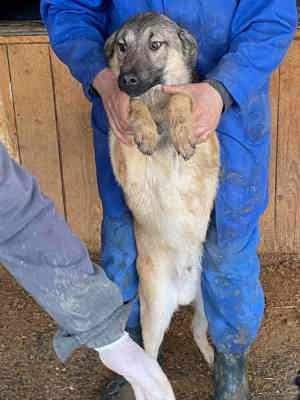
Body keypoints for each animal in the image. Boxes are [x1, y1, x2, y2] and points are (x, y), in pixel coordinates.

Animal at [104, 12, 219, 364]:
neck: (157, 109)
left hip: (208, 305)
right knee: (149, 353)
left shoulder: (208, 144)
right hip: (154, 313)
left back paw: (214, 360)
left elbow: (181, 94)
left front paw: (181, 131)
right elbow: (132, 104)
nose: (126, 79)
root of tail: (182, 292)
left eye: (156, 44)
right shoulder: (126, 158)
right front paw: (144, 129)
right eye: (122, 46)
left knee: (198, 331)